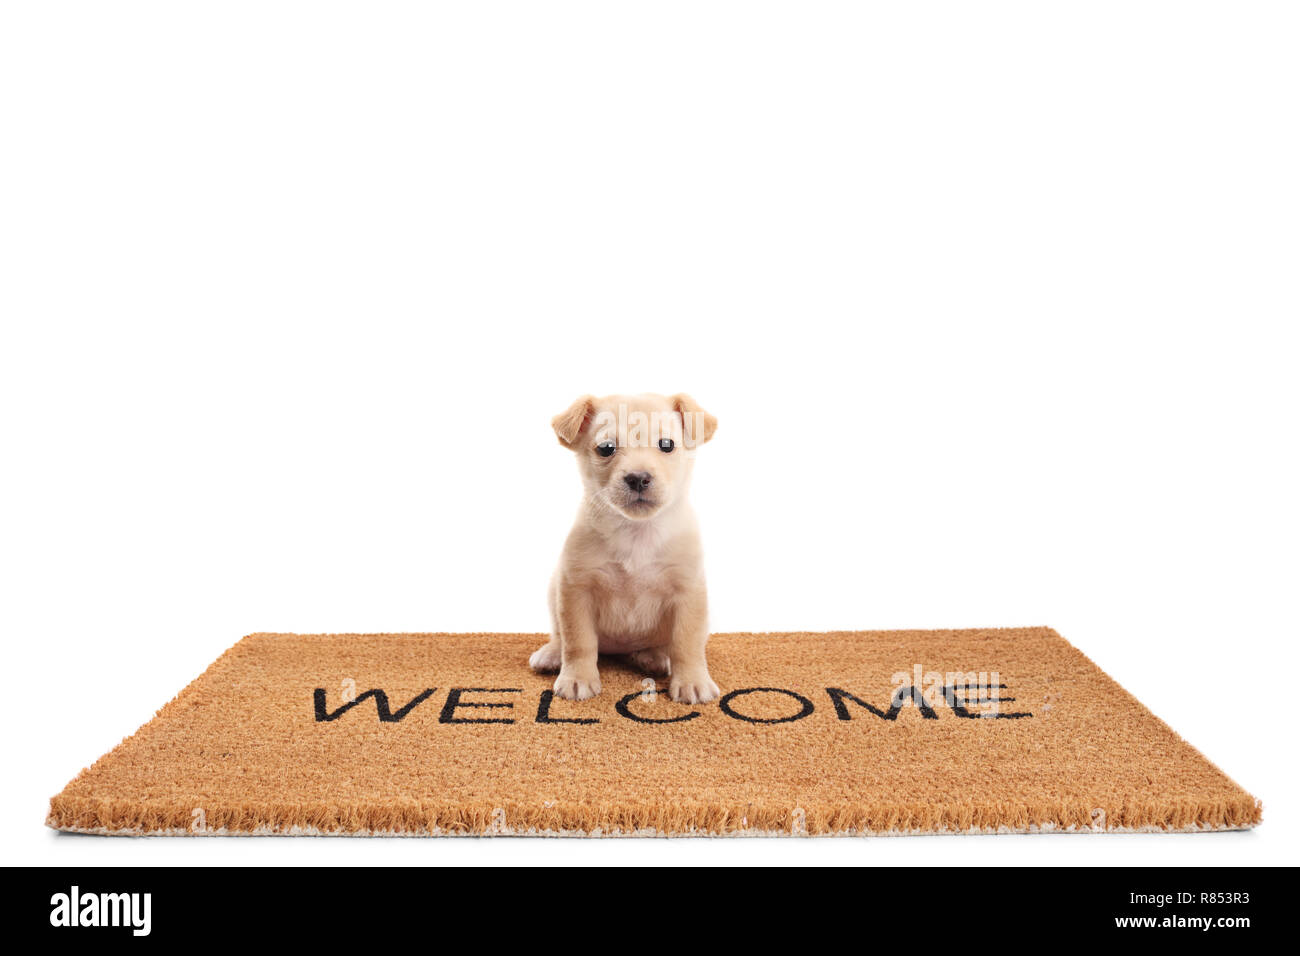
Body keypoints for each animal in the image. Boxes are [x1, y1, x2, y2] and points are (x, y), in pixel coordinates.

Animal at [533, 392, 728, 707]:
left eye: (666, 445)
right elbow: (578, 641)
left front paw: (692, 682)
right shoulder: (576, 588)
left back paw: (654, 657)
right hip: (554, 591)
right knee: (560, 635)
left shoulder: (688, 593)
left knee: (661, 645)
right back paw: (551, 654)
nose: (638, 478)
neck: (637, 533)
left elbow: (686, 643)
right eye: (606, 449)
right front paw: (577, 678)